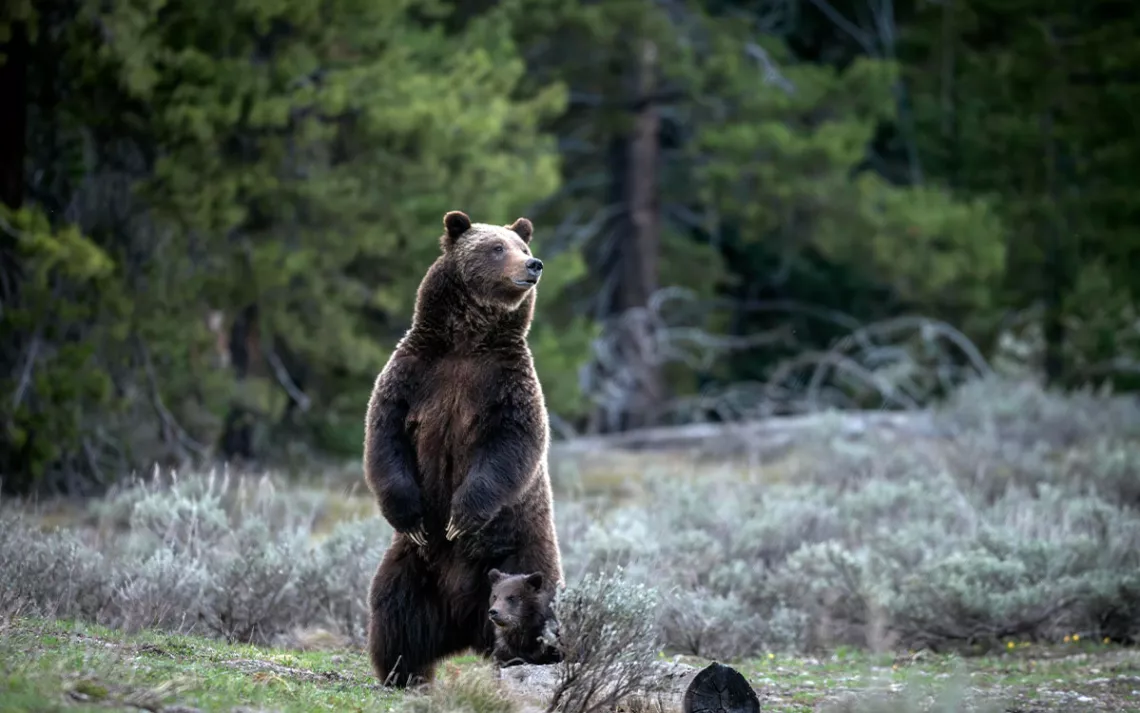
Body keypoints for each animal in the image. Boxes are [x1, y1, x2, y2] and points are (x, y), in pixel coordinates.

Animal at [362, 208, 563, 689]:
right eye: (497, 247)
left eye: (522, 246)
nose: (534, 265)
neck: (467, 342)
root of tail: (463, 624)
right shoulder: (414, 375)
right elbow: (385, 437)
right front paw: (413, 516)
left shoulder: (506, 385)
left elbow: (511, 446)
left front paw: (461, 517)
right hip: (413, 566)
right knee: (395, 610)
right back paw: (402, 672)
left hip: (522, 554)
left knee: (535, 607)